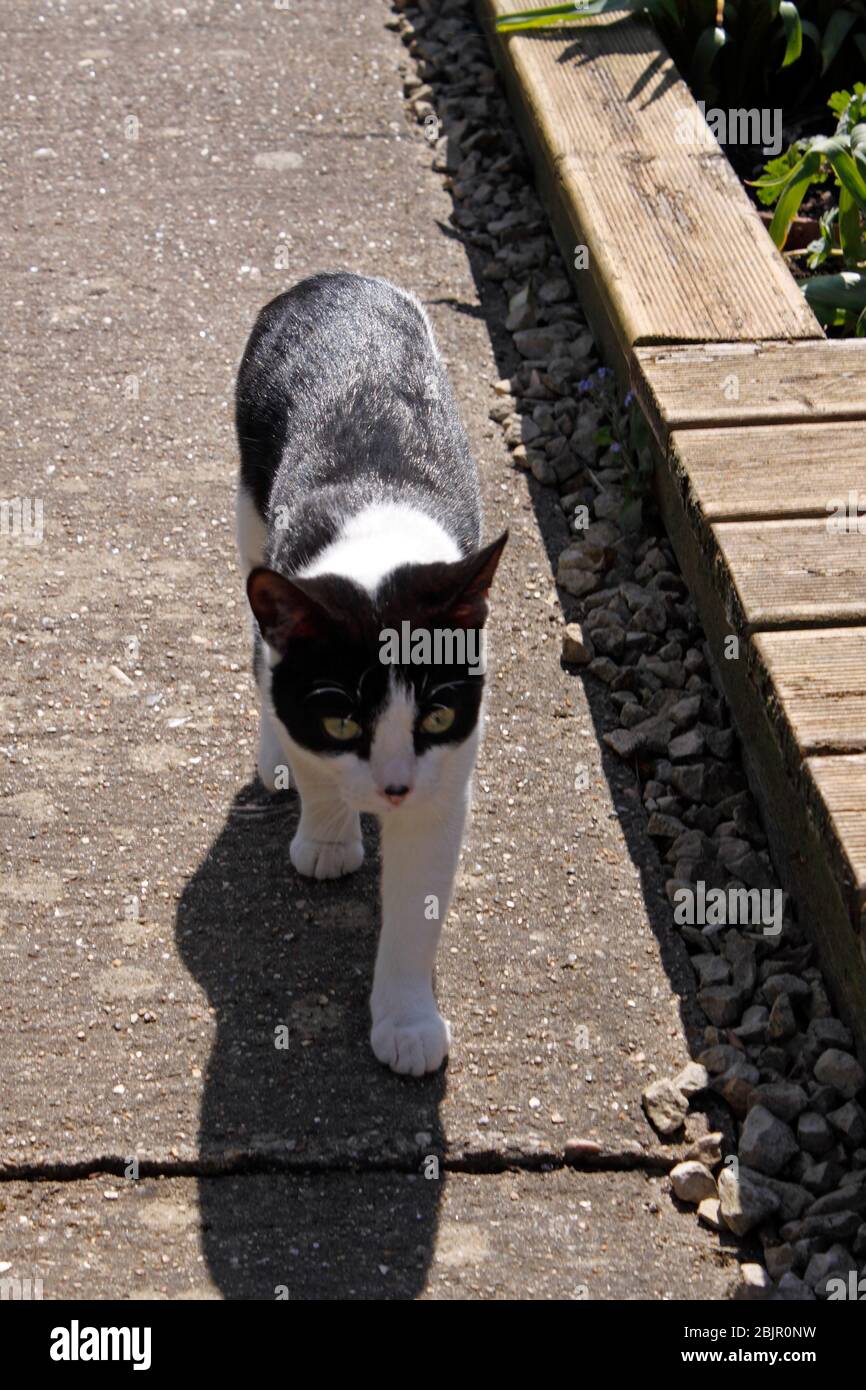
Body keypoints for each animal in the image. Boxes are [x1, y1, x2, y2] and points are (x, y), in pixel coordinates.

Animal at [234, 271, 508, 1073]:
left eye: (439, 714)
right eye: (341, 718)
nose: (392, 788)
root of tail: (335, 278)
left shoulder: (447, 773)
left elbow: (419, 897)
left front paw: (407, 1022)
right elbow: (313, 759)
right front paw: (328, 838)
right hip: (248, 506)